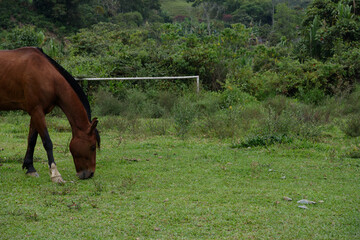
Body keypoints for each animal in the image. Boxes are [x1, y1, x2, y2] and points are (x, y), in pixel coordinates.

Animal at [0, 46, 100, 182]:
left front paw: (30, 168)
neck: (47, 76)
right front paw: (55, 174)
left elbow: (32, 140)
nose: (90, 174)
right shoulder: (37, 111)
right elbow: (47, 142)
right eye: (92, 147)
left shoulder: (36, 113)